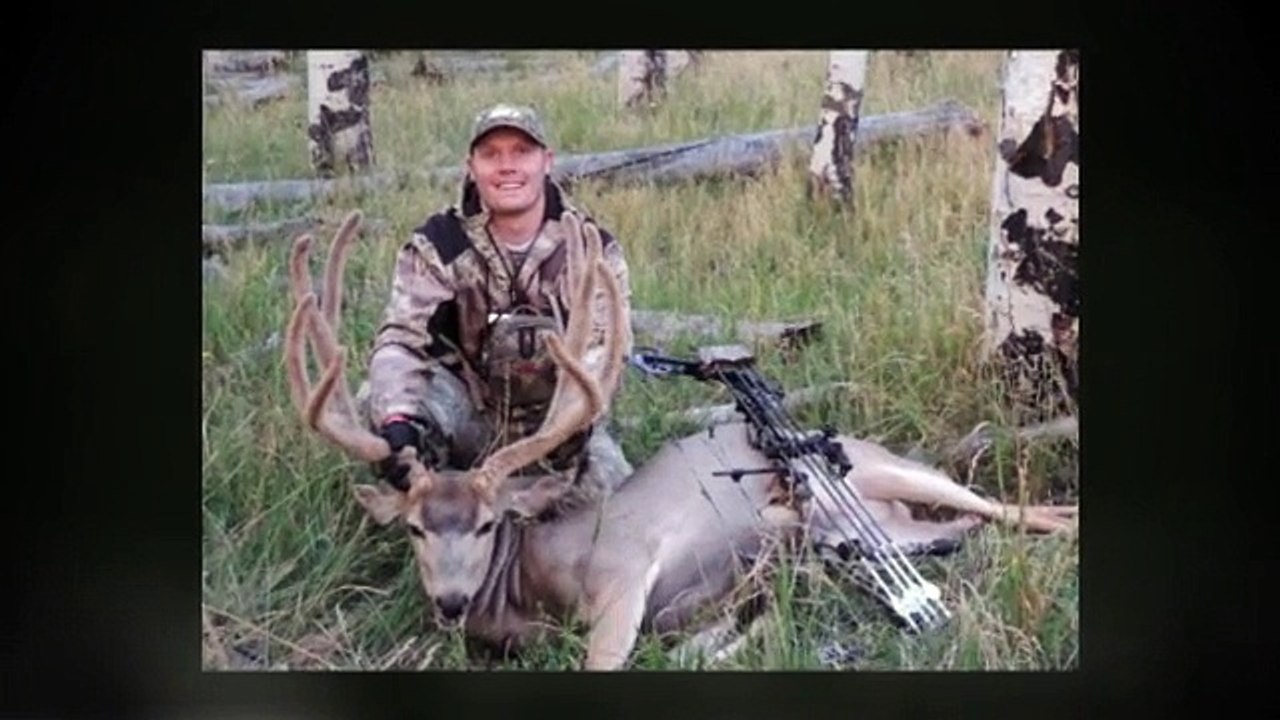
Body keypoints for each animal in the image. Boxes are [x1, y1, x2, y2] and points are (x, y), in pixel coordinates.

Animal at [283, 209, 1078, 670]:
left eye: (484, 524)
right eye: (416, 528)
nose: (450, 601)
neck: (527, 589)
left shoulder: (625, 572)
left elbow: (614, 659)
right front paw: (756, 619)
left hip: (888, 469)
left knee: (1016, 508)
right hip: (886, 523)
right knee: (966, 529)